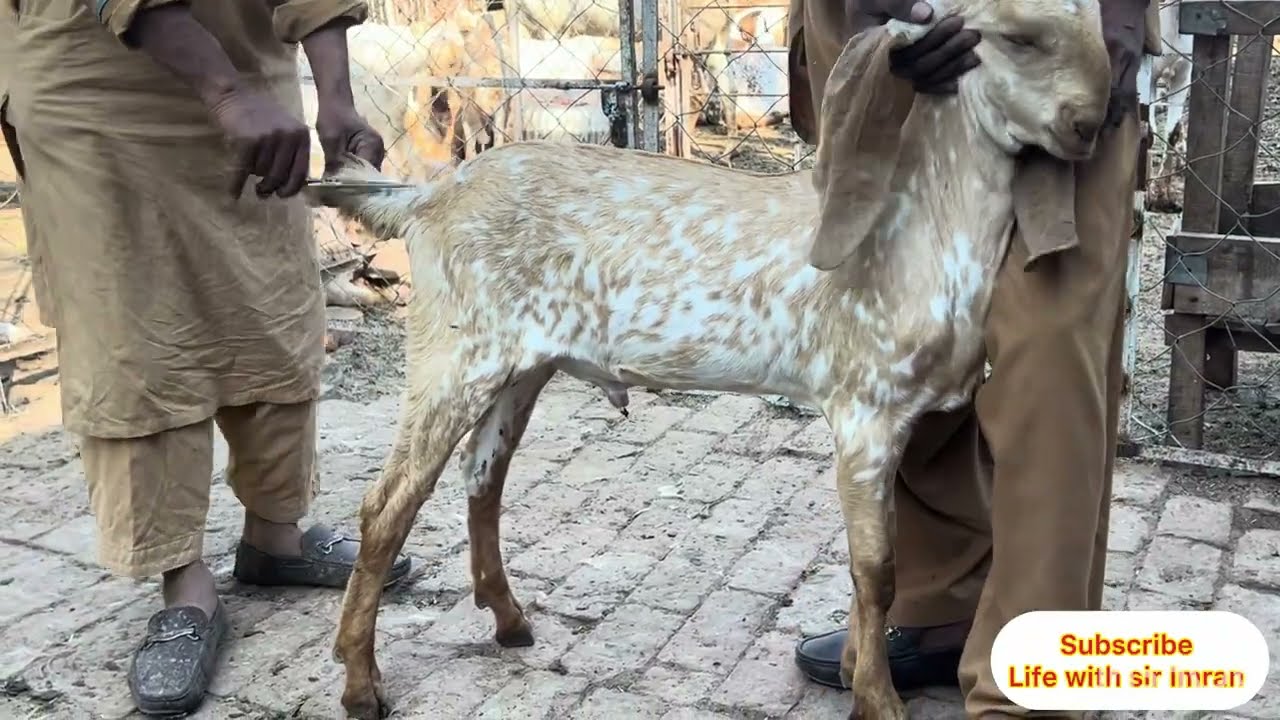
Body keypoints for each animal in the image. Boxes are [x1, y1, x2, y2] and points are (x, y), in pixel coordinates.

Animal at [309, 0, 1111, 717]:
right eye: (1018, 37)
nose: (1088, 125)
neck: (917, 232)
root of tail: (427, 197)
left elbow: (872, 570)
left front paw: (852, 666)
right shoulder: (864, 408)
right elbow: (876, 570)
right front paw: (877, 700)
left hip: (519, 365)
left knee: (484, 477)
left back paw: (509, 621)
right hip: (454, 349)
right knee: (388, 503)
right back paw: (360, 683)